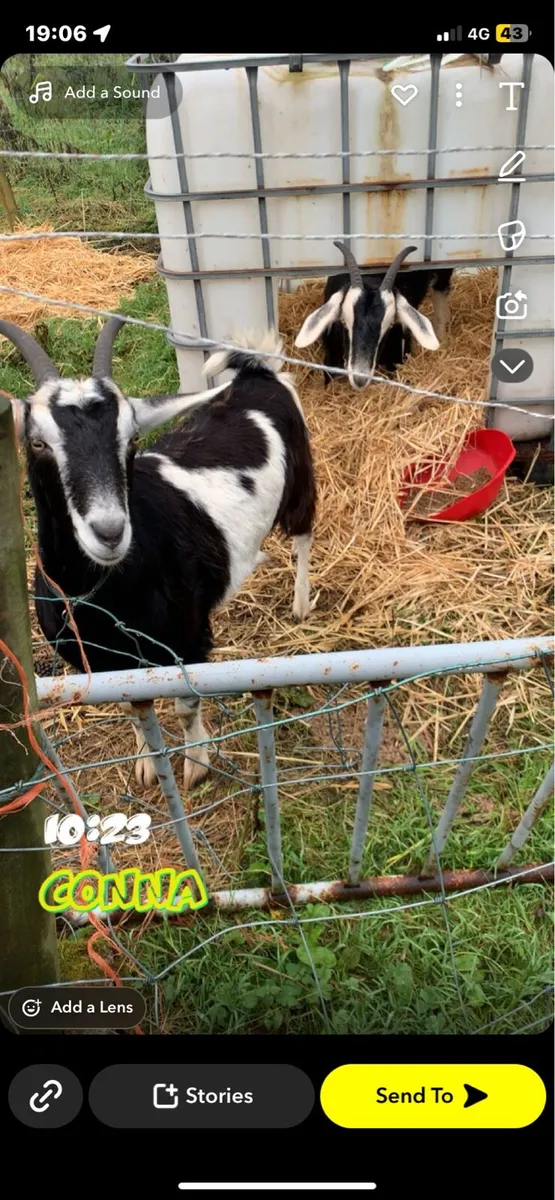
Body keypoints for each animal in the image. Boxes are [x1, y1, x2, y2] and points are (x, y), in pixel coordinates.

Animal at [0, 318, 316, 794]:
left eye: (131, 438)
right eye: (37, 443)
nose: (109, 532)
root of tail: (257, 375)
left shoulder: (188, 641)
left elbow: (186, 705)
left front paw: (196, 765)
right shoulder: (108, 666)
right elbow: (133, 711)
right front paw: (148, 765)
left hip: (301, 482)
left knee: (303, 537)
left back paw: (300, 604)